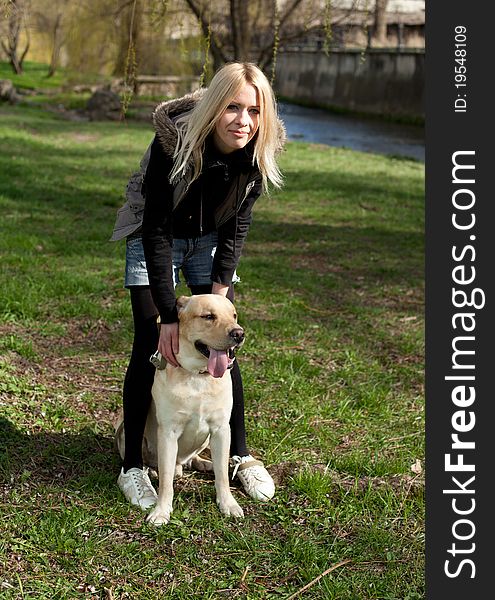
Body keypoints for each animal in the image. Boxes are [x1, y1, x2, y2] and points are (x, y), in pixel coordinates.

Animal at [116, 294, 248, 524]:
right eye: (208, 316)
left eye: (234, 315)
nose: (239, 333)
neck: (198, 376)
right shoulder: (168, 433)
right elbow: (166, 480)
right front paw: (161, 511)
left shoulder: (221, 429)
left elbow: (222, 475)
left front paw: (228, 504)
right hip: (127, 432)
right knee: (158, 465)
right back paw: (149, 471)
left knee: (195, 460)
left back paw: (205, 463)